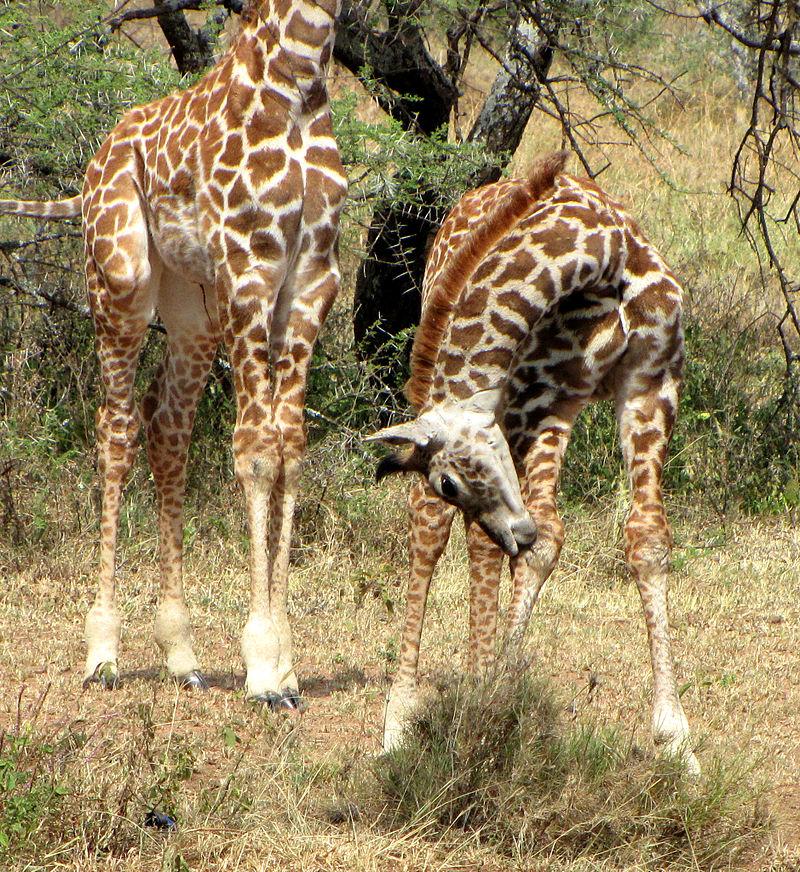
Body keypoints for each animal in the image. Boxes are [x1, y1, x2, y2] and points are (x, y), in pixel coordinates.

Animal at [1, 0, 348, 708]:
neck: (300, 76)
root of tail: (92, 167)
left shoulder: (312, 276)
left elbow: (291, 450)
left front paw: (286, 664)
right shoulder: (251, 264)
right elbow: (257, 453)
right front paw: (263, 664)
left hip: (194, 308)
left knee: (167, 426)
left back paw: (181, 653)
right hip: (123, 281)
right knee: (116, 429)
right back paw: (103, 650)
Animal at [368, 152, 700, 776]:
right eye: (448, 481)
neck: (599, 256)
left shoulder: (651, 380)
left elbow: (643, 537)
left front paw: (676, 738)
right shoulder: (543, 394)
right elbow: (508, 541)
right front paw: (479, 705)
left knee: (515, 536)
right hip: (520, 407)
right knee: (436, 529)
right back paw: (400, 720)